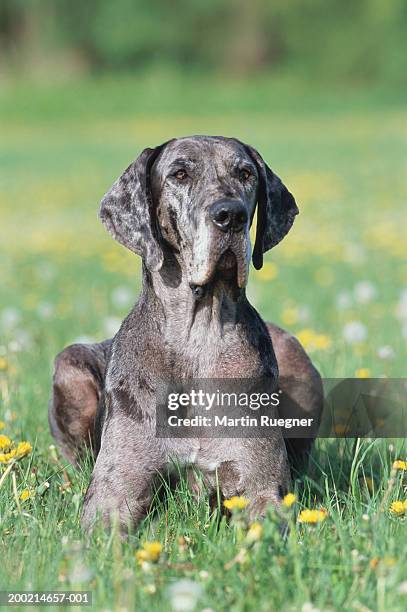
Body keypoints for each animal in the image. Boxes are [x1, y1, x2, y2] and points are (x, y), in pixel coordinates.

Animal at [48, 135, 322, 532]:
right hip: (70, 366)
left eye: (246, 174)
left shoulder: (262, 489)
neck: (198, 338)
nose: (231, 215)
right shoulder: (113, 493)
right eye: (180, 174)